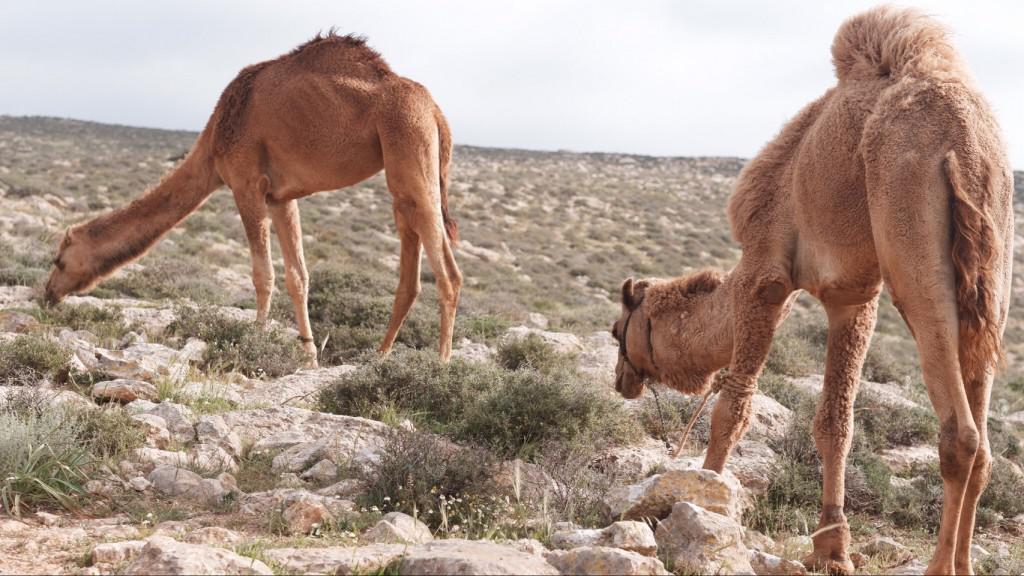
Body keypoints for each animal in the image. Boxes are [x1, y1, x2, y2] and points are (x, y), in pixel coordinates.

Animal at [41, 31, 462, 360]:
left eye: (60, 260)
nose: (47, 294)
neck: (214, 140)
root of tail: (437, 111)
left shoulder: (246, 182)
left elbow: (263, 273)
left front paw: (254, 343)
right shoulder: (281, 196)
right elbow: (298, 275)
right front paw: (309, 357)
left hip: (409, 143)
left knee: (449, 273)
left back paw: (440, 366)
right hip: (405, 173)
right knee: (410, 270)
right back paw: (379, 358)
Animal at [610, 6, 1011, 569]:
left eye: (616, 330)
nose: (621, 380)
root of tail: (963, 140)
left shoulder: (766, 276)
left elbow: (733, 407)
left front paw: (705, 498)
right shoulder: (853, 296)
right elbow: (835, 424)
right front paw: (832, 549)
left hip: (912, 238)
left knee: (962, 433)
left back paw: (939, 568)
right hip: (993, 269)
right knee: (986, 436)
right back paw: (964, 563)